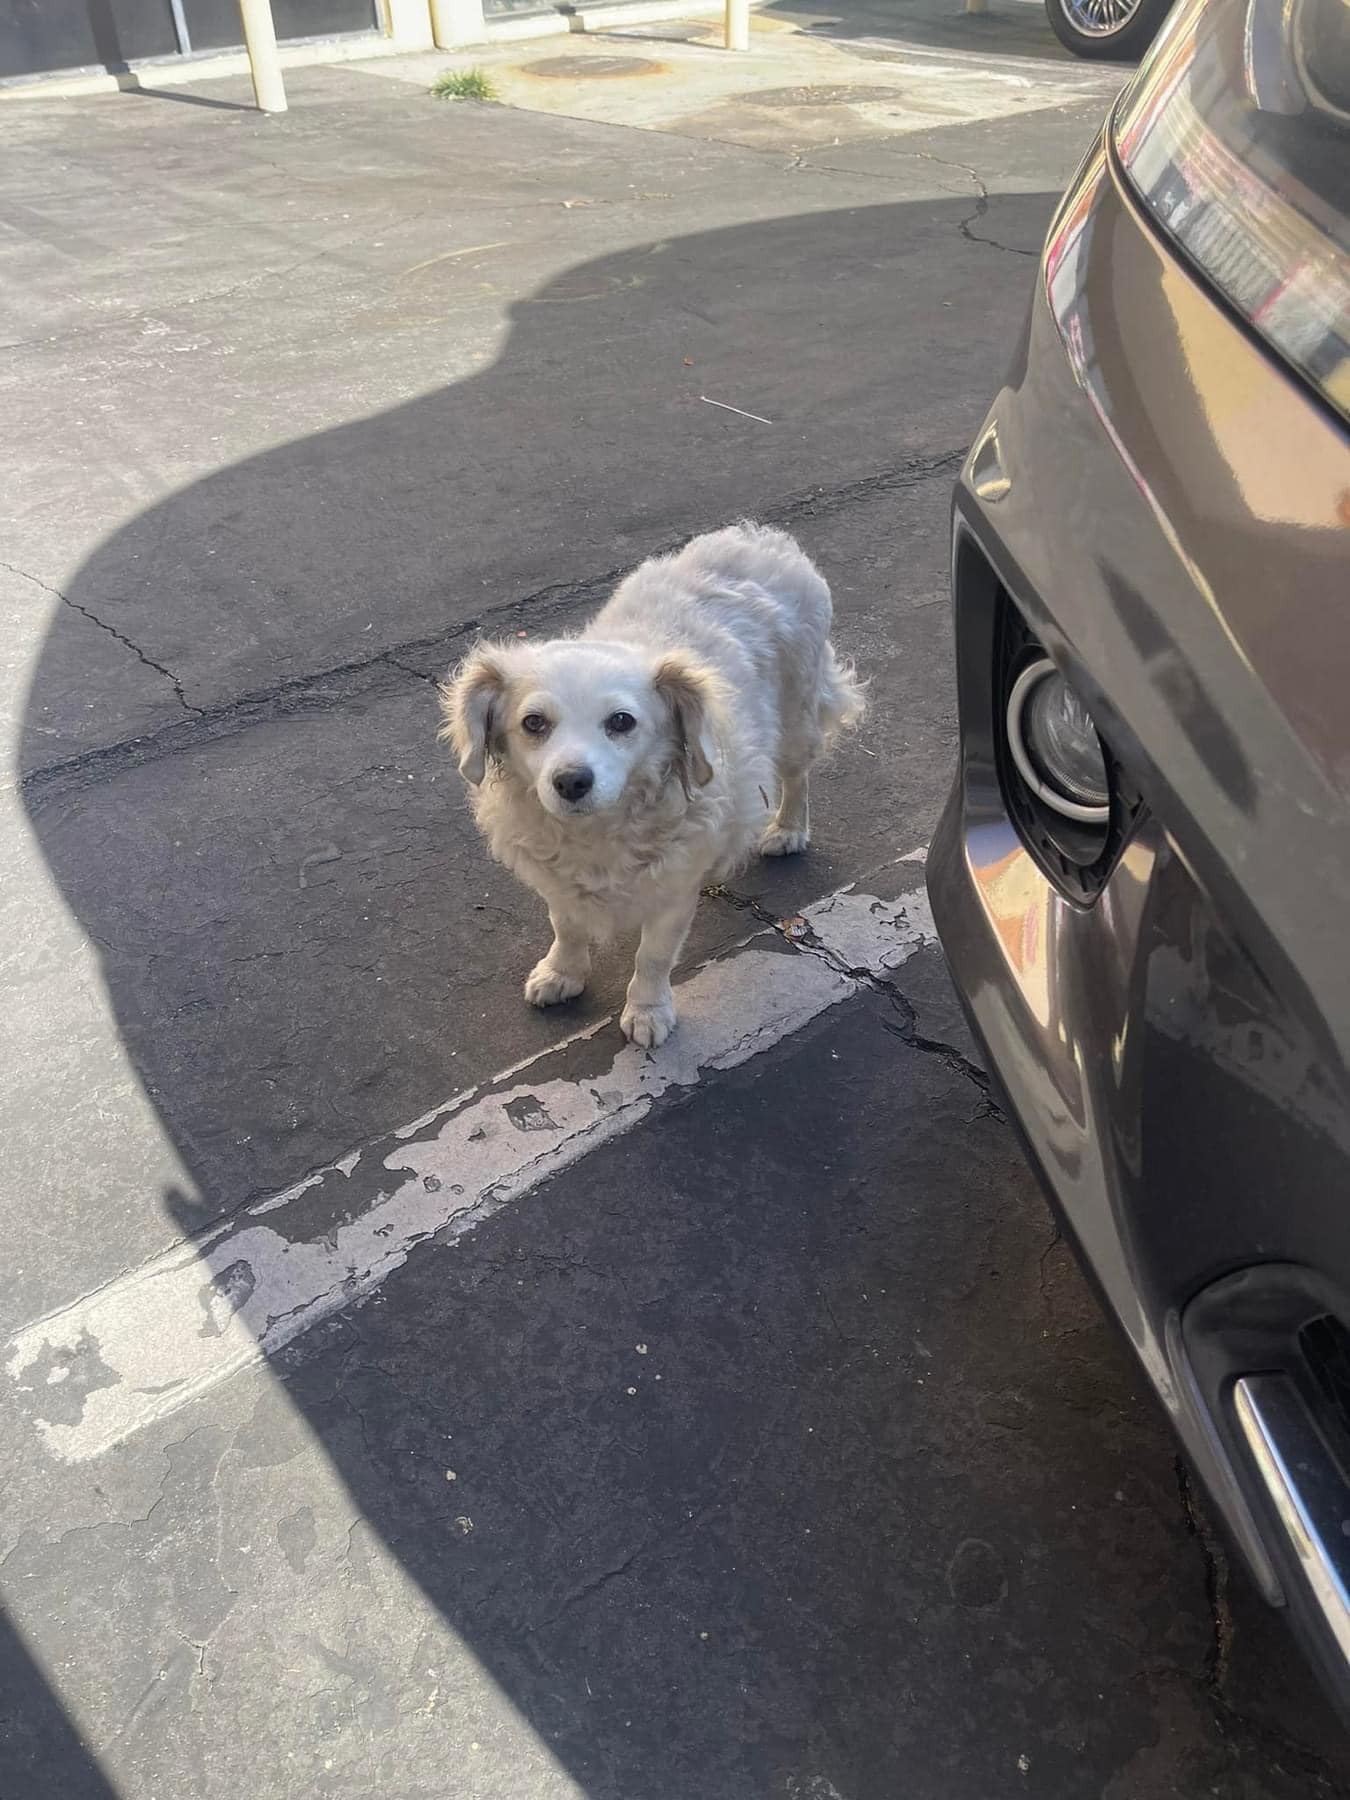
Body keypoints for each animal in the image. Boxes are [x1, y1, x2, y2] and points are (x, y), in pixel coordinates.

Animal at [444, 522, 867, 1051]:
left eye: (622, 721)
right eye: (533, 723)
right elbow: (566, 927)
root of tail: (761, 538)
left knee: (797, 777)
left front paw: (647, 1011)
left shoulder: (673, 893)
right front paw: (562, 973)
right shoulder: (559, 884)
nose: (571, 781)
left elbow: (653, 956)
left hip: (796, 721)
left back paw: (788, 830)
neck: (600, 834)